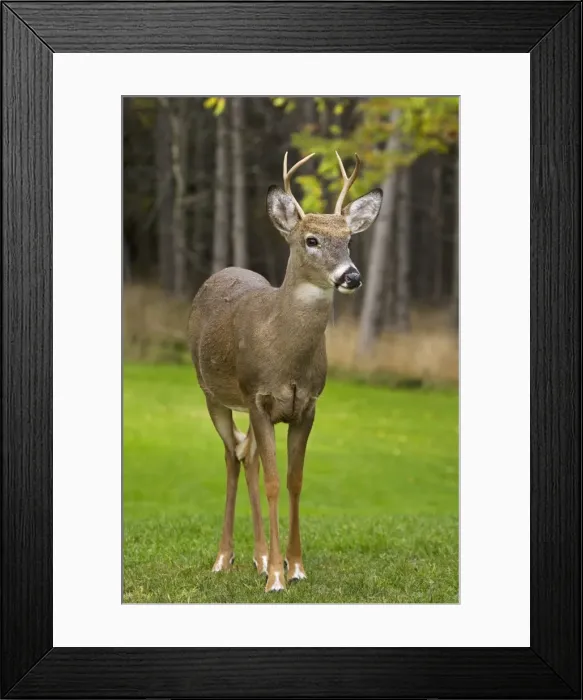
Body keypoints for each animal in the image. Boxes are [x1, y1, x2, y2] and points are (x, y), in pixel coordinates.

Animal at [187, 152, 382, 592]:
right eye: (311, 240)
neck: (285, 354)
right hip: (213, 394)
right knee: (232, 456)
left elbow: (294, 481)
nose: (352, 276)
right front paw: (277, 577)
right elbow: (275, 482)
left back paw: (258, 556)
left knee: (247, 456)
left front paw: (294, 568)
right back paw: (224, 558)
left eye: (349, 239)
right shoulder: (258, 395)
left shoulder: (306, 405)